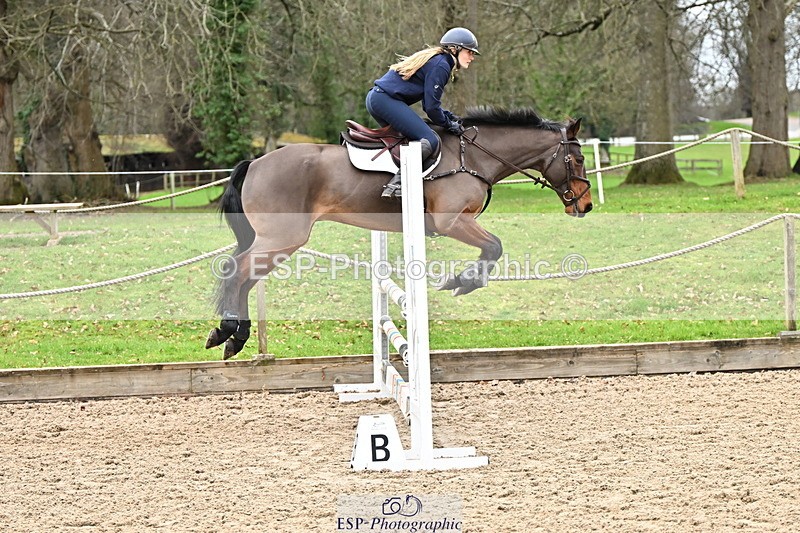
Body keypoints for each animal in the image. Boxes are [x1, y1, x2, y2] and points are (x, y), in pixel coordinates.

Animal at [206, 106, 593, 359]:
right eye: (578, 160)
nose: (586, 205)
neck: (473, 157)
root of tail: (255, 162)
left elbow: (492, 249)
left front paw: (463, 280)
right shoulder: (452, 222)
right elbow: (494, 247)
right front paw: (461, 282)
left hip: (278, 242)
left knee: (245, 277)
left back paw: (234, 338)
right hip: (283, 239)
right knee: (236, 271)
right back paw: (226, 331)